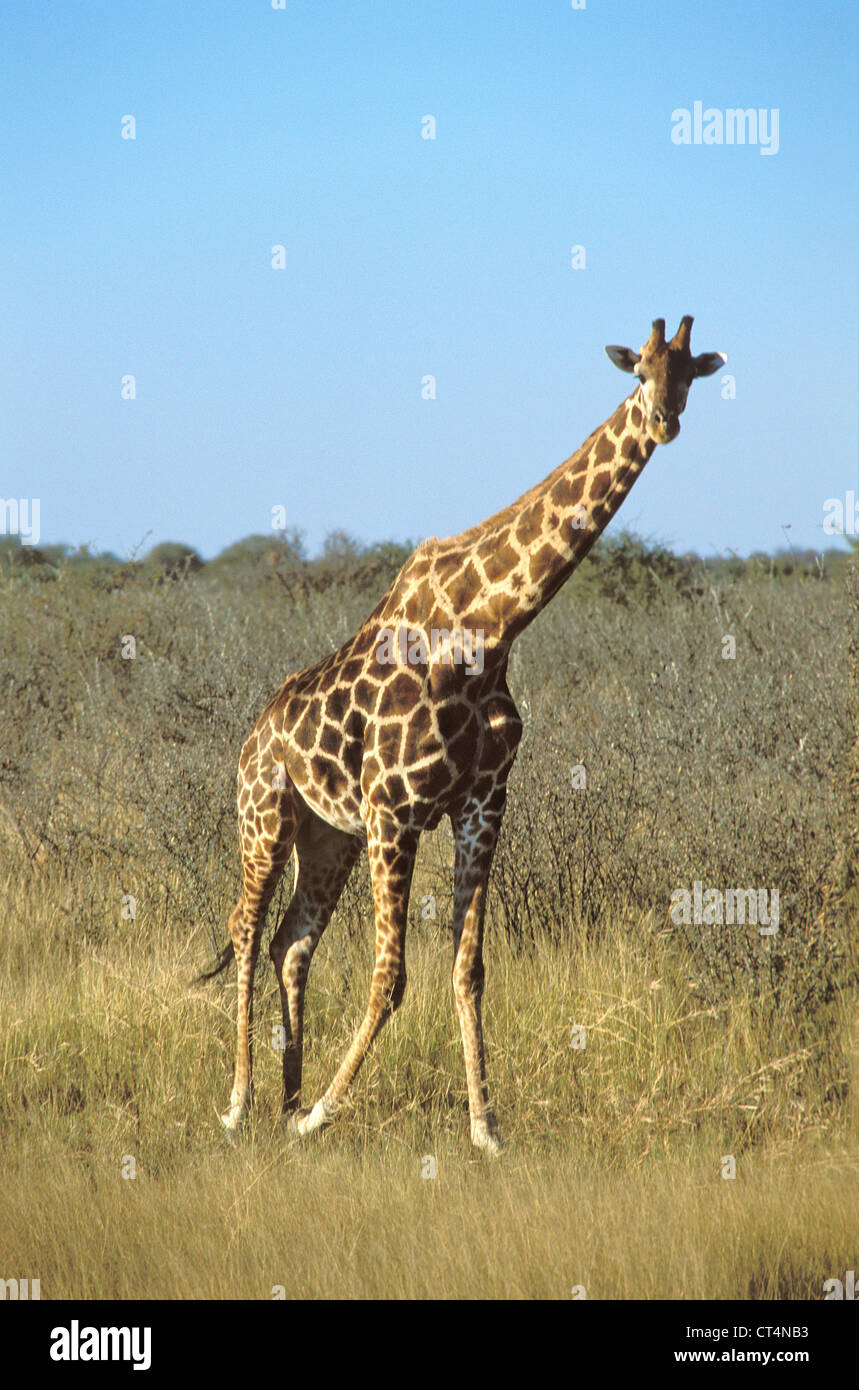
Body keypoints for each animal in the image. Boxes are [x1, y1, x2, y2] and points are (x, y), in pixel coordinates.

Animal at [210, 315, 725, 1153]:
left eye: (689, 376)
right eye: (639, 369)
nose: (662, 421)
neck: (490, 629)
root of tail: (253, 735)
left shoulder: (481, 804)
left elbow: (468, 968)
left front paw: (484, 1128)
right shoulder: (394, 810)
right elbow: (391, 976)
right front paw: (325, 1114)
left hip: (329, 836)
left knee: (293, 941)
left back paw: (286, 1098)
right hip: (265, 817)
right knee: (246, 930)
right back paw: (241, 1102)